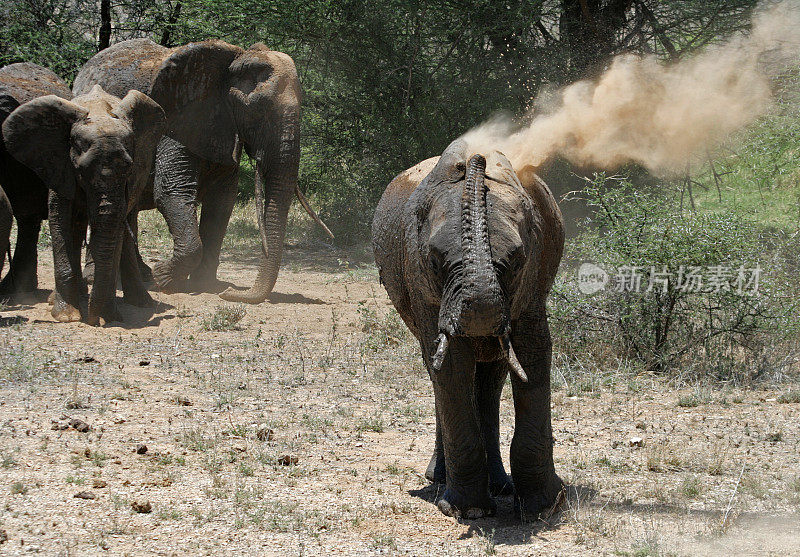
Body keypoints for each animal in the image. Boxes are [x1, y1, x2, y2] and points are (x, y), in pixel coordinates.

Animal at [2, 84, 166, 324]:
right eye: (81, 170)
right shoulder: (59, 165)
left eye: (128, 169)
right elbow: (58, 220)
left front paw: (110, 317)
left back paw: (141, 302)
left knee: (125, 230)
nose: (93, 320)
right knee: (76, 226)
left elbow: (116, 231)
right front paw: (66, 316)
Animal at [71, 38, 328, 304]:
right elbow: (172, 192)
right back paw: (103, 277)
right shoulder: (176, 121)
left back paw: (143, 275)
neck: (232, 61)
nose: (231, 292)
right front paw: (164, 278)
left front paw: (206, 285)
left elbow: (222, 200)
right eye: (258, 112)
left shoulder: (222, 126)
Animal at [372, 138, 564, 516]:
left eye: (517, 262)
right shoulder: (422, 282)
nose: (476, 159)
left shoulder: (533, 278)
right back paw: (441, 479)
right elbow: (452, 365)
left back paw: (500, 485)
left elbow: (533, 352)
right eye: (434, 262)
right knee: (443, 372)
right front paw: (467, 511)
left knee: (491, 377)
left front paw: (541, 508)